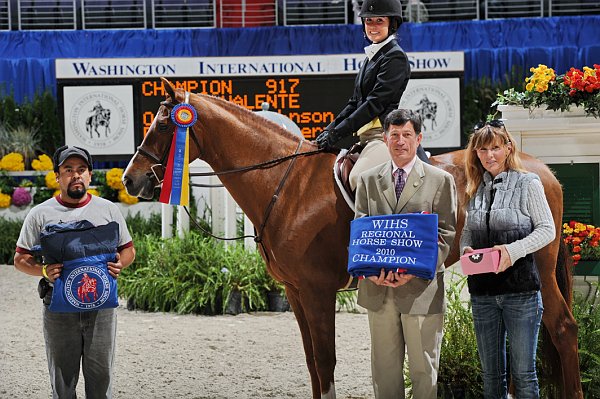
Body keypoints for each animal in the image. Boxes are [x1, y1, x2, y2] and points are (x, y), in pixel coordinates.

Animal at [122, 82, 580, 399]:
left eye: (164, 124)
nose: (130, 180)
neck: (285, 184)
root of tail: (540, 169)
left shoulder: (317, 291)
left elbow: (326, 361)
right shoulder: (296, 292)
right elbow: (312, 362)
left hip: (538, 266)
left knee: (560, 326)